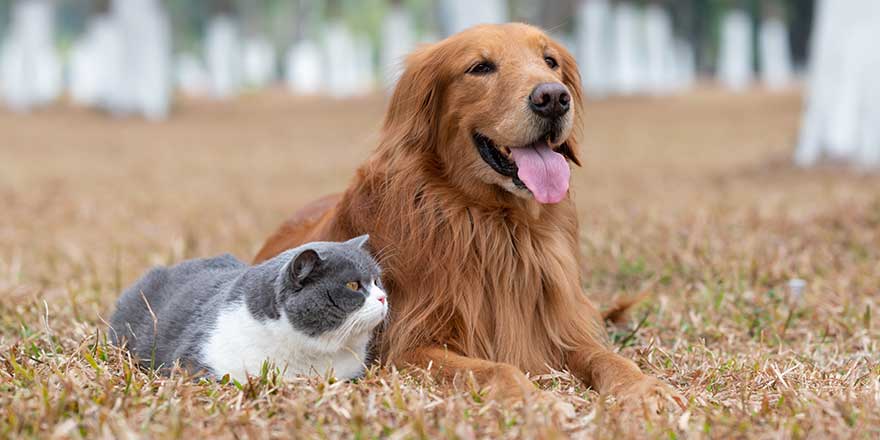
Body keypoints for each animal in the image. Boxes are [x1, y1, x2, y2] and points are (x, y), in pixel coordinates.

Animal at [254, 23, 680, 410]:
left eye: (550, 61)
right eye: (480, 67)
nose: (553, 98)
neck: (494, 222)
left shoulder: (559, 330)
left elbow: (607, 357)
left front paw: (645, 388)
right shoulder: (408, 348)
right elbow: (495, 368)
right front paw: (533, 401)